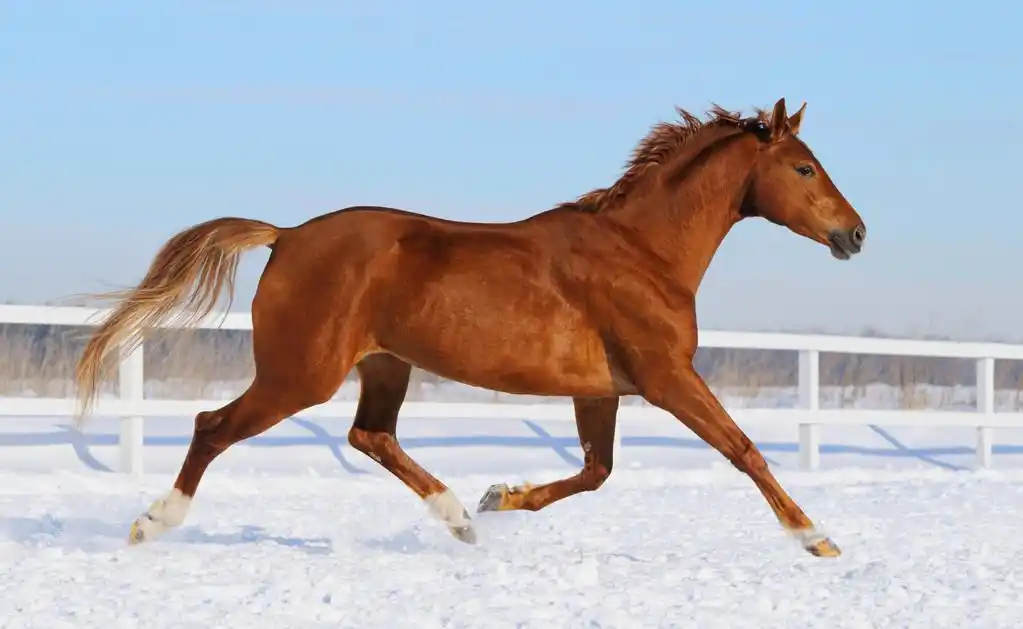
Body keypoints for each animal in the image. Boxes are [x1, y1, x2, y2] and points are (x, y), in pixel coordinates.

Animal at [72, 97, 865, 557]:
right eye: (803, 167)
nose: (855, 234)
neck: (642, 252)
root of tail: (287, 235)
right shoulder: (667, 376)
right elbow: (744, 449)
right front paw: (816, 537)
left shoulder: (600, 388)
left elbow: (596, 470)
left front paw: (500, 497)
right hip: (300, 373)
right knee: (213, 426)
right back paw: (150, 524)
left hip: (382, 364)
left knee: (370, 435)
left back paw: (459, 516)